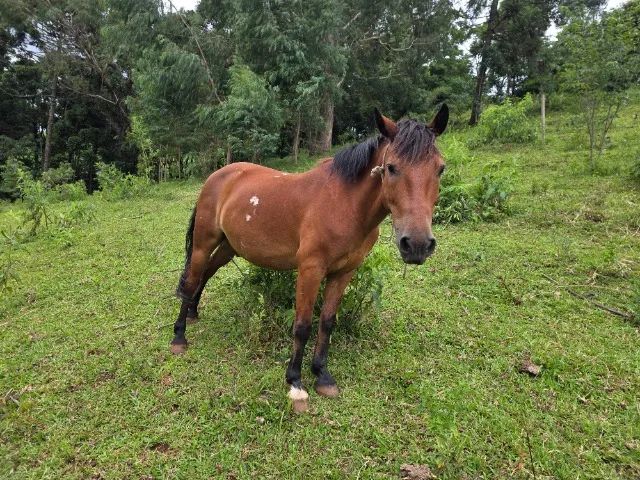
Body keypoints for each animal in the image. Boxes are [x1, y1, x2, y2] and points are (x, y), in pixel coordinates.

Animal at [171, 105, 449, 412]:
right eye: (391, 167)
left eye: (440, 168)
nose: (417, 244)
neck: (344, 204)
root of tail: (218, 175)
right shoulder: (310, 270)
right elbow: (302, 325)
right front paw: (295, 383)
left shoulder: (344, 273)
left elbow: (327, 321)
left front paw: (322, 375)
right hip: (203, 242)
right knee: (192, 278)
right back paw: (179, 337)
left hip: (229, 246)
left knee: (205, 274)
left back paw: (193, 313)